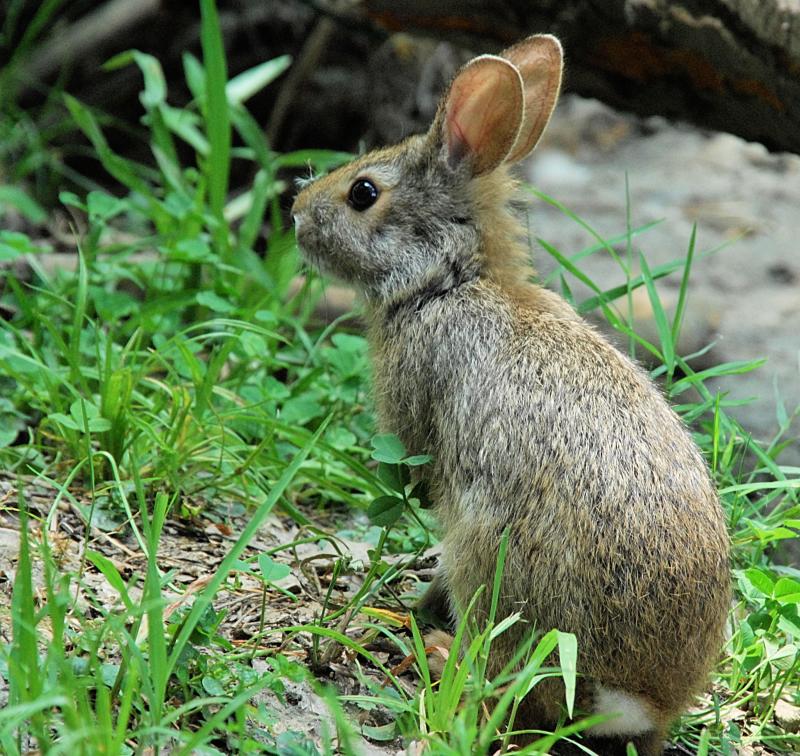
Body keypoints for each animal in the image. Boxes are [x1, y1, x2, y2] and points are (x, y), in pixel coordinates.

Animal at [292, 32, 732, 752]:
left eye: (363, 192)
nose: (297, 213)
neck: (449, 279)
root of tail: (636, 698)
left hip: (489, 552)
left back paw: (437, 651)